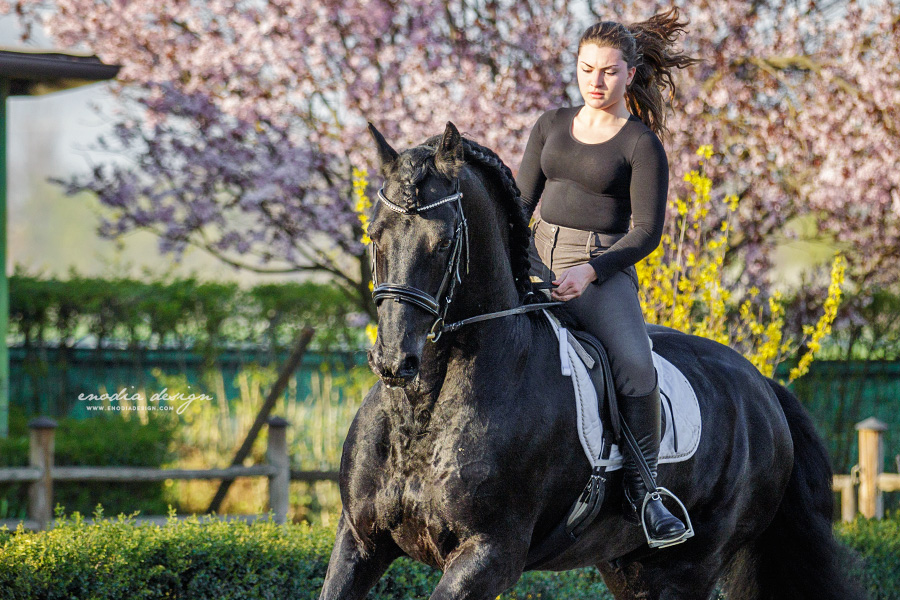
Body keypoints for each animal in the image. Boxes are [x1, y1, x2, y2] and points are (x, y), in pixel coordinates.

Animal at [320, 123, 860, 600]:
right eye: (374, 234)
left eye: (447, 242)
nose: (396, 360)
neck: (422, 410)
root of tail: (763, 386)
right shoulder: (360, 541)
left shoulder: (488, 556)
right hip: (631, 568)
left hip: (690, 568)